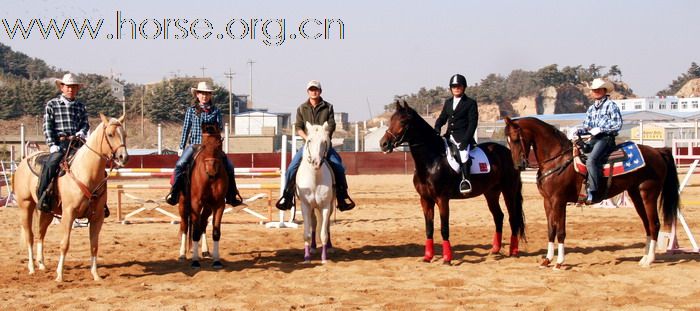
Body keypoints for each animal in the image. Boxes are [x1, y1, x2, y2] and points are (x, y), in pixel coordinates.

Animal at [14, 114, 129, 282]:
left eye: (124, 134)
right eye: (110, 134)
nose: (123, 157)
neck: (86, 172)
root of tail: (24, 160)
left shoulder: (97, 217)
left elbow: (94, 245)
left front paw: (95, 275)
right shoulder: (68, 214)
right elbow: (64, 244)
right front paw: (59, 275)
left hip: (46, 212)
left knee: (41, 234)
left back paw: (41, 265)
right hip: (25, 206)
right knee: (30, 236)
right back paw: (32, 268)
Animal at [179, 123, 228, 270]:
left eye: (219, 144)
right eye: (204, 145)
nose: (211, 170)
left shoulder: (219, 204)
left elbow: (216, 232)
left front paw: (217, 260)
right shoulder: (196, 203)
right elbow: (194, 232)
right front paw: (195, 261)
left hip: (207, 207)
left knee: (203, 223)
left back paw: (205, 251)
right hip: (183, 205)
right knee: (184, 225)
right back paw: (182, 254)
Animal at [296, 122, 334, 264]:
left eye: (324, 141)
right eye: (309, 140)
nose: (316, 163)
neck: (315, 178)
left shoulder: (325, 206)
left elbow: (323, 233)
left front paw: (324, 258)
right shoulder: (305, 206)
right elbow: (307, 233)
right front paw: (307, 257)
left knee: (326, 225)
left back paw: (329, 247)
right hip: (312, 208)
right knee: (313, 224)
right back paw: (312, 248)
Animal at [378, 102, 524, 266]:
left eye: (403, 121)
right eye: (391, 120)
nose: (383, 144)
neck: (432, 160)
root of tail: (508, 153)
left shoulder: (442, 199)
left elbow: (444, 228)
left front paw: (447, 259)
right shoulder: (425, 200)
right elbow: (429, 228)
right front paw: (427, 257)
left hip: (509, 191)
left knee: (513, 218)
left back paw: (514, 252)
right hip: (491, 193)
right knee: (498, 216)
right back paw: (495, 250)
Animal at [504, 117, 680, 270]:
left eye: (516, 139)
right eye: (508, 141)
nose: (518, 165)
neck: (556, 160)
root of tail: (657, 151)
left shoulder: (559, 201)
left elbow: (560, 232)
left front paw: (559, 263)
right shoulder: (547, 202)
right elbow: (551, 230)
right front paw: (547, 260)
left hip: (648, 194)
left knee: (654, 224)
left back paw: (649, 260)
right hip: (636, 196)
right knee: (647, 224)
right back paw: (644, 258)